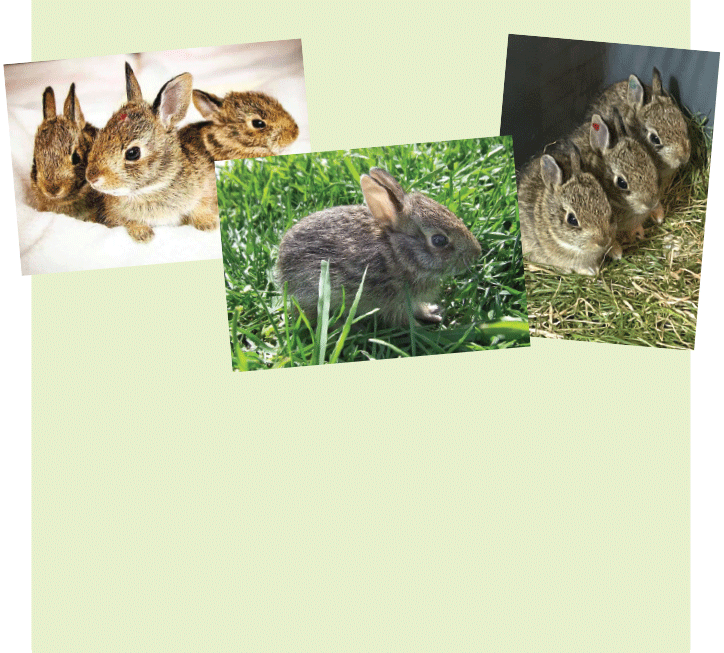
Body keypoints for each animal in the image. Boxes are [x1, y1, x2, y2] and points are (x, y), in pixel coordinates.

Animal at [85, 63, 218, 242]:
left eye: (132, 153)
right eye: (99, 137)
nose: (92, 178)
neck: (153, 188)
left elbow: (200, 207)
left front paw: (209, 224)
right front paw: (142, 234)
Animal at [275, 167, 483, 327]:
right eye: (439, 240)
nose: (476, 253)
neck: (398, 253)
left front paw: (431, 313)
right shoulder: (394, 301)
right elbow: (402, 318)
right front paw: (421, 328)